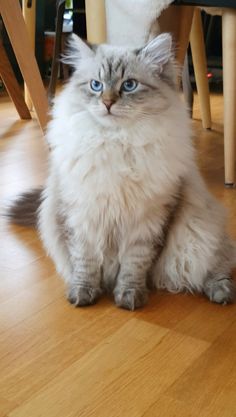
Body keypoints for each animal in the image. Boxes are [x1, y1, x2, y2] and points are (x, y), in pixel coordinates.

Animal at [7, 33, 236, 308]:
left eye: (129, 85)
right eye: (96, 85)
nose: (107, 102)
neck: (116, 141)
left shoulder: (148, 222)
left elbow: (134, 265)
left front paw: (129, 298)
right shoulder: (81, 216)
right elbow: (85, 262)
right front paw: (83, 295)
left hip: (199, 232)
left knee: (217, 266)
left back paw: (222, 294)